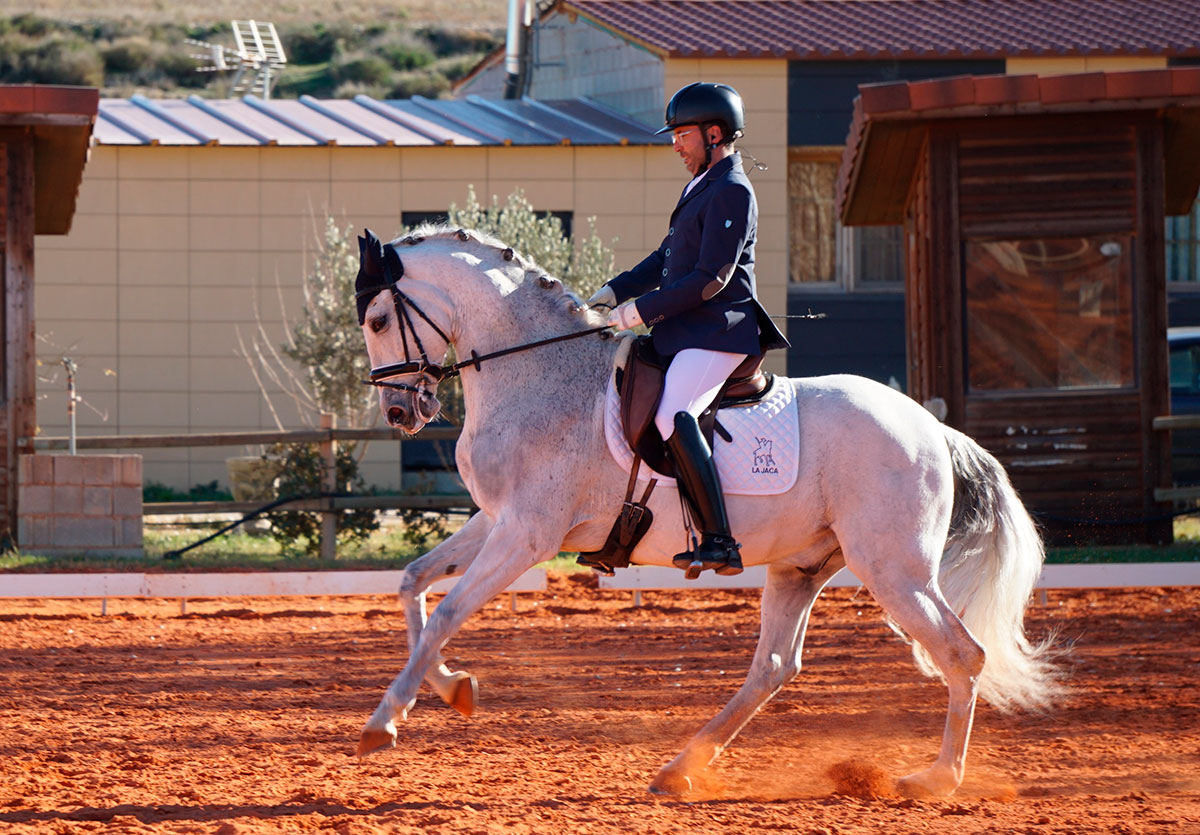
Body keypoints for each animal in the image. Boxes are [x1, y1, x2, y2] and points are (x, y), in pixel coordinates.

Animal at [350, 225, 1060, 801]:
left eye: (379, 319)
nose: (401, 412)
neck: (540, 373)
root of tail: (932, 428)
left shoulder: (527, 534)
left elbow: (448, 610)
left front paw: (384, 722)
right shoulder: (497, 521)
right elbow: (413, 582)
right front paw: (452, 688)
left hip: (893, 568)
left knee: (962, 653)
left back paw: (936, 779)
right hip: (803, 567)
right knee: (774, 668)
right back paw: (680, 768)